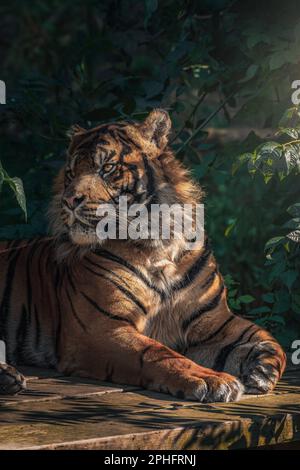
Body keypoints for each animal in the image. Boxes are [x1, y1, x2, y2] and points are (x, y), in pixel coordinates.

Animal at [0, 109, 286, 400]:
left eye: (107, 168)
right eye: (70, 172)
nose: (69, 201)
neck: (157, 244)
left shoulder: (216, 319)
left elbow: (271, 341)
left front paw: (260, 370)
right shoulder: (99, 328)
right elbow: (156, 353)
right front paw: (213, 380)